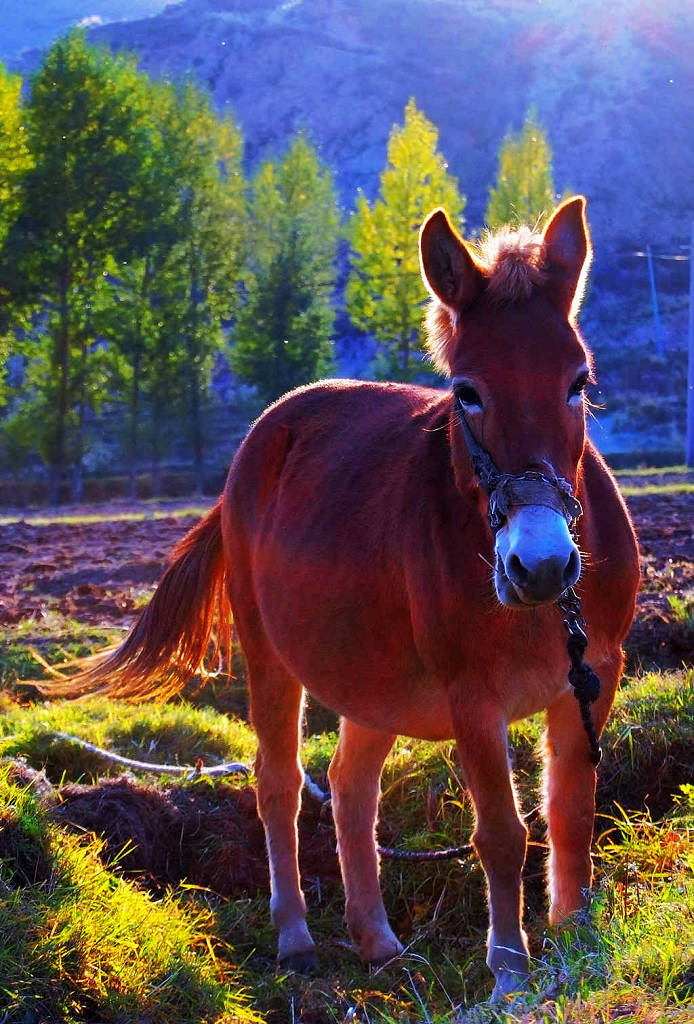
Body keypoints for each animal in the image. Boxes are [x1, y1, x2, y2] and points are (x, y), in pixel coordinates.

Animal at [54, 195, 642, 995]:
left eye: (577, 381)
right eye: (467, 393)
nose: (542, 566)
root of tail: (266, 434)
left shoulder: (594, 675)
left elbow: (572, 812)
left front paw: (575, 938)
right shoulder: (472, 696)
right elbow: (500, 832)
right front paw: (511, 971)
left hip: (374, 680)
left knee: (351, 785)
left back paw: (377, 941)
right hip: (271, 657)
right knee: (279, 783)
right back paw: (297, 936)